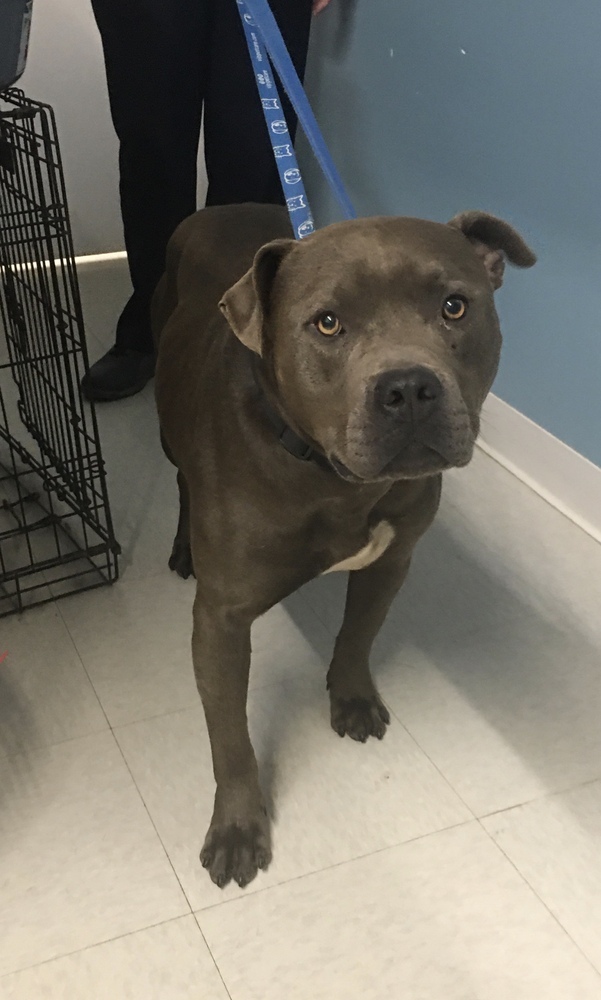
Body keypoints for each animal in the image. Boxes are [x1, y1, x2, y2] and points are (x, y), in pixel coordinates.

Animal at [151, 199, 536, 888]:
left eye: (454, 306)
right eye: (327, 323)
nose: (408, 387)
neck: (330, 478)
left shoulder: (393, 558)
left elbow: (359, 633)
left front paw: (352, 698)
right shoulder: (220, 622)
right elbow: (230, 736)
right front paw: (238, 827)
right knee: (180, 478)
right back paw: (182, 547)